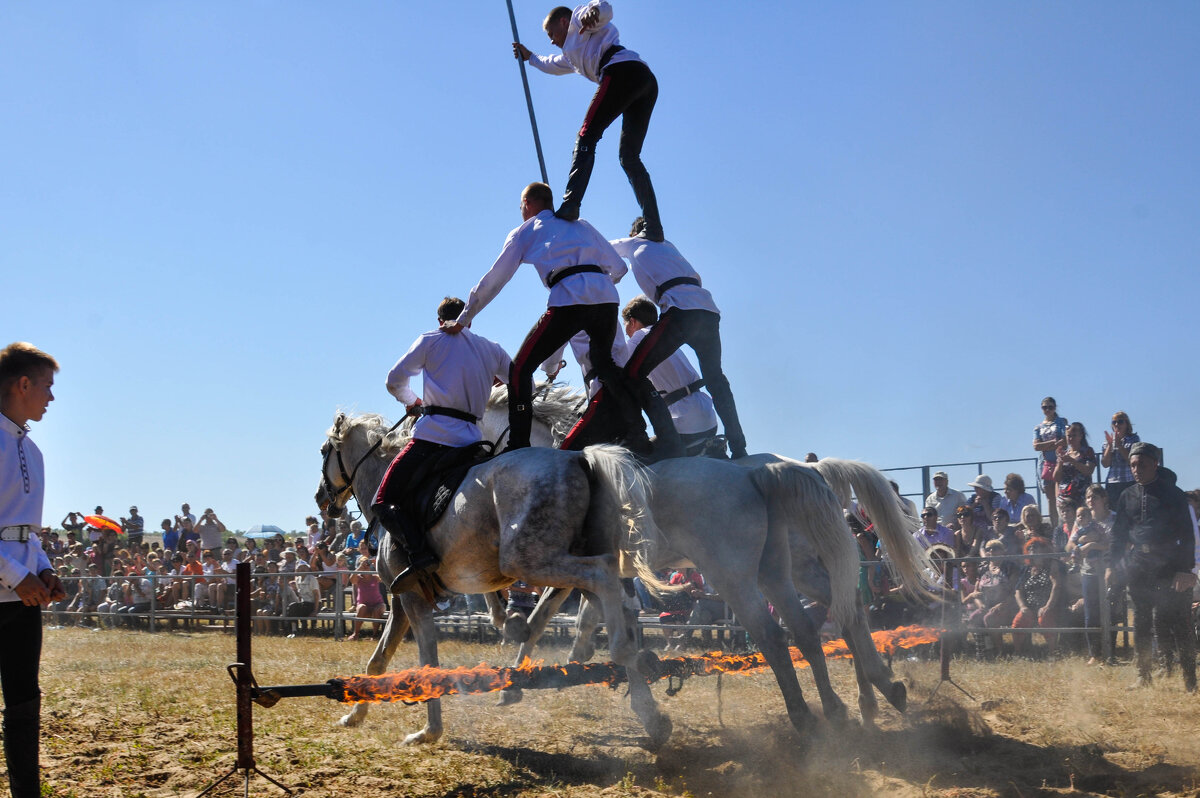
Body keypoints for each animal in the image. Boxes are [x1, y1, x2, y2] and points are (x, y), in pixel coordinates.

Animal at [319, 410, 676, 748]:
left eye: (324, 451)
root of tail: (578, 458)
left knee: (602, 573)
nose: (321, 500)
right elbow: (377, 662)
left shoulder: (410, 597)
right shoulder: (408, 598)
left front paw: (428, 732)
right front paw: (354, 715)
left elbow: (427, 662)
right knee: (609, 603)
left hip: (529, 560)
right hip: (558, 561)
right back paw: (648, 709)